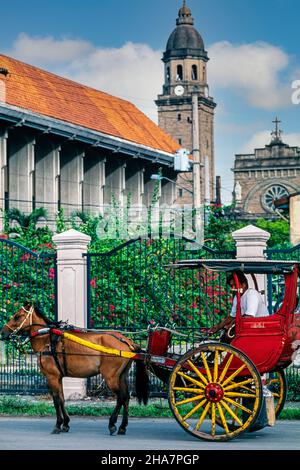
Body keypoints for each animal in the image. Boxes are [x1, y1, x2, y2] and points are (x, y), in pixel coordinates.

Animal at [0, 302, 149, 436]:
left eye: (17, 317)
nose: (3, 333)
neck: (46, 339)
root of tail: (127, 341)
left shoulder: (52, 377)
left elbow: (56, 400)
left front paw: (58, 425)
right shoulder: (58, 377)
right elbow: (62, 399)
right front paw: (65, 423)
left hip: (110, 377)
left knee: (120, 397)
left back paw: (112, 424)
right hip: (121, 376)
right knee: (126, 397)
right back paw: (122, 427)